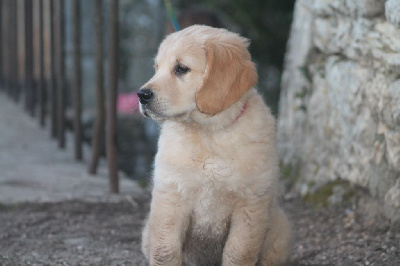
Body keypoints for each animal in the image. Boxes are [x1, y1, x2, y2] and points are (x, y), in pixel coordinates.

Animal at [138, 25, 290, 266]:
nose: (141, 95)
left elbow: (239, 253)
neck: (207, 134)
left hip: (279, 230)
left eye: (181, 69)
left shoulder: (250, 204)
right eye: (157, 68)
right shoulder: (171, 197)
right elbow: (165, 251)